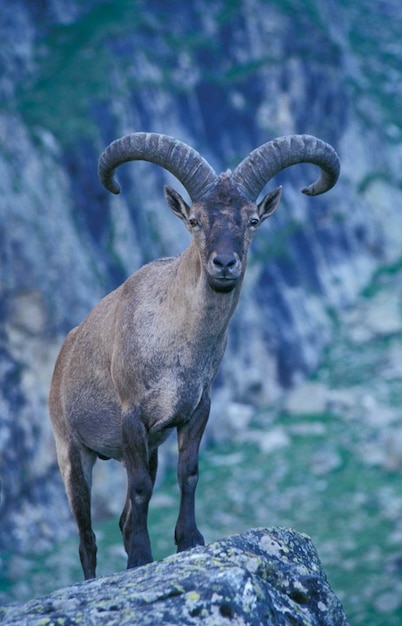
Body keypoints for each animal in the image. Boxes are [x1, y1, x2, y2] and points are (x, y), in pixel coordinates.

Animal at [48, 130, 340, 576]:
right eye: (194, 220)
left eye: (252, 220)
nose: (225, 264)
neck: (177, 343)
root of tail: (63, 356)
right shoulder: (132, 415)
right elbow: (140, 488)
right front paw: (141, 557)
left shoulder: (195, 409)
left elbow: (188, 473)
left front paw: (189, 540)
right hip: (72, 452)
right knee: (87, 538)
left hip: (144, 449)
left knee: (122, 518)